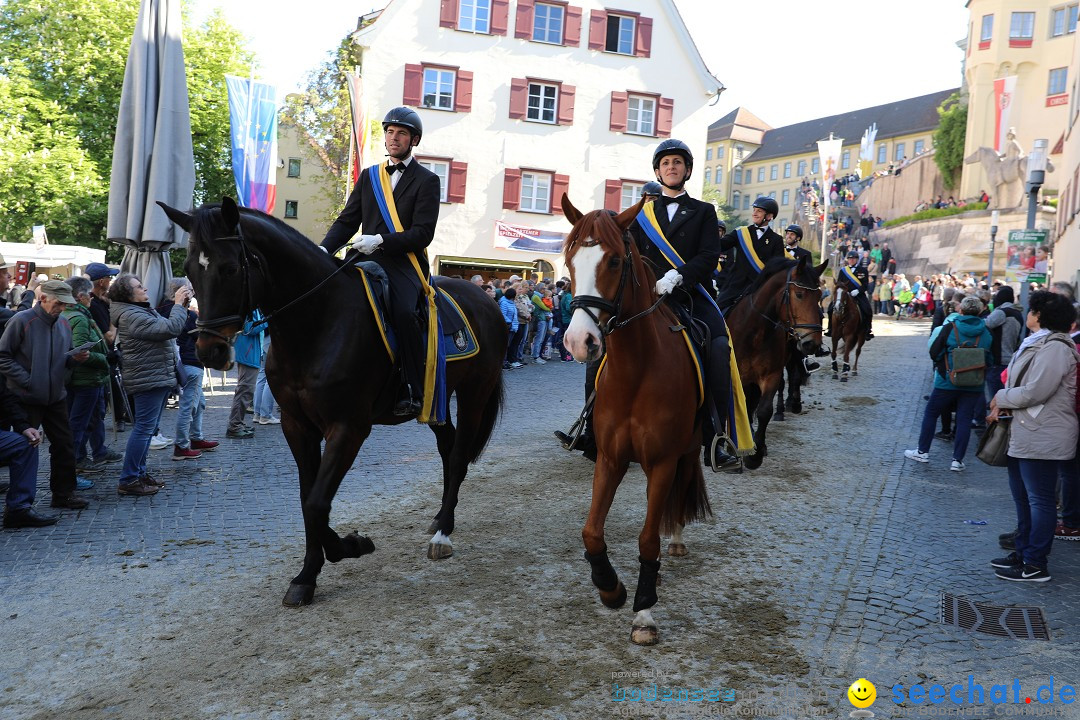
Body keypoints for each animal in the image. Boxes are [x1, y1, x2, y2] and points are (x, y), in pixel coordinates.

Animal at [159, 197, 505, 608]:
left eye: (229, 267)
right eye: (188, 270)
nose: (208, 351)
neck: (317, 323)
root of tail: (486, 298)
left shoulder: (349, 428)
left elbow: (316, 503)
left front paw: (351, 546)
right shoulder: (297, 426)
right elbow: (308, 500)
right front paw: (308, 575)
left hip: (473, 393)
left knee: (458, 456)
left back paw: (443, 535)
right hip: (435, 399)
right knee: (448, 449)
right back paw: (438, 519)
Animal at [561, 197, 712, 647]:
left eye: (613, 261)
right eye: (569, 259)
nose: (578, 342)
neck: (637, 370)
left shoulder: (661, 462)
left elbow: (647, 539)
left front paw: (644, 611)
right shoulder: (610, 458)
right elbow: (592, 532)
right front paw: (611, 589)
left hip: (689, 447)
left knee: (681, 488)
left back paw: (674, 539)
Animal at [725, 255, 825, 470]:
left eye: (820, 296)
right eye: (799, 294)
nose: (812, 343)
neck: (755, 333)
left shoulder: (770, 375)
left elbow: (763, 411)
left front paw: (755, 454)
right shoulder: (735, 376)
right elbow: (737, 408)